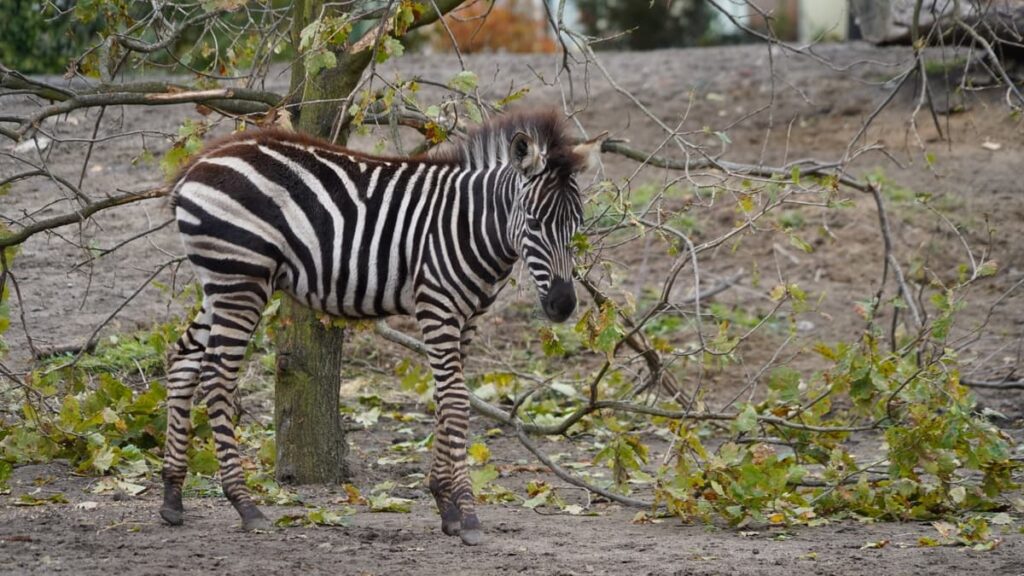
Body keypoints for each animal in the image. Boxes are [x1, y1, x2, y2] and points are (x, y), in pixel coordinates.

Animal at [157, 107, 598, 541]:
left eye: (577, 222)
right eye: (534, 221)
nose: (562, 305)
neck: (471, 226)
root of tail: (198, 164)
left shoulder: (469, 318)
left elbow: (445, 399)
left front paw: (446, 505)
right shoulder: (437, 307)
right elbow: (456, 401)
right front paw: (468, 514)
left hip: (220, 283)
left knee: (183, 360)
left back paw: (172, 498)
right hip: (241, 280)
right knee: (217, 376)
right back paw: (245, 505)